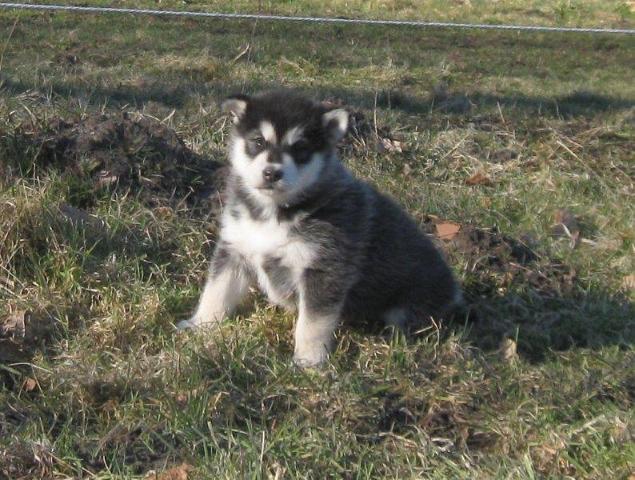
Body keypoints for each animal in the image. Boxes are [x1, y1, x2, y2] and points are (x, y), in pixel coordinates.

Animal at [178, 91, 461, 367]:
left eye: (300, 148)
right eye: (258, 141)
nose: (272, 173)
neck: (275, 212)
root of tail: (455, 292)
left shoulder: (324, 269)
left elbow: (312, 324)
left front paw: (308, 361)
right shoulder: (235, 249)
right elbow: (216, 292)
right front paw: (199, 325)